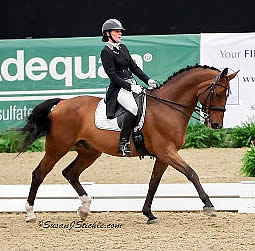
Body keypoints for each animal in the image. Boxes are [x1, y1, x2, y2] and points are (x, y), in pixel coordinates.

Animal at [18, 64, 238, 224]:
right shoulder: (167, 152)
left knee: (70, 173)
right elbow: (192, 173)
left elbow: (153, 183)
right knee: (39, 174)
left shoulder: (163, 156)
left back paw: (84, 208)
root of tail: (62, 103)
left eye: (227, 94)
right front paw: (209, 206)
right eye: (218, 93)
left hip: (89, 152)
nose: (216, 124)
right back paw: (30, 214)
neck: (168, 107)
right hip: (57, 148)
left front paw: (149, 214)